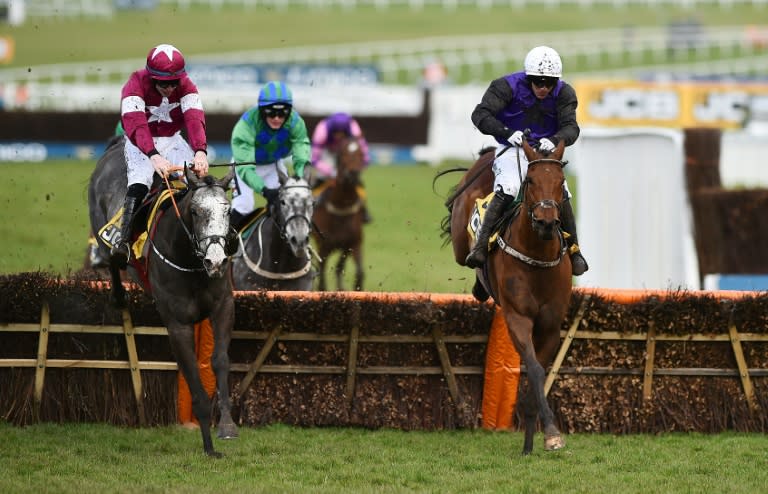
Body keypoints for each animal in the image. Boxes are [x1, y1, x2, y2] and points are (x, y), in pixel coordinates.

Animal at [88, 137, 237, 458]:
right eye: (195, 211)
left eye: (228, 211)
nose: (216, 260)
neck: (191, 263)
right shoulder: (177, 324)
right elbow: (192, 376)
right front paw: (208, 446)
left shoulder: (223, 307)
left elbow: (220, 360)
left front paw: (227, 426)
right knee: (113, 257)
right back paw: (118, 294)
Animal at [316, 134, 368, 290]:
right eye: (343, 154)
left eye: (361, 154)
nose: (353, 174)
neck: (342, 207)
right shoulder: (324, 246)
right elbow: (322, 276)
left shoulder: (353, 244)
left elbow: (359, 272)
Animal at [438, 139, 568, 456]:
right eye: (530, 180)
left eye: (561, 182)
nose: (546, 222)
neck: (537, 257)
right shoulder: (517, 318)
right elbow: (534, 369)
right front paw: (551, 432)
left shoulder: (550, 326)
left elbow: (538, 372)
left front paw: (535, 441)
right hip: (460, 241)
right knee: (465, 255)